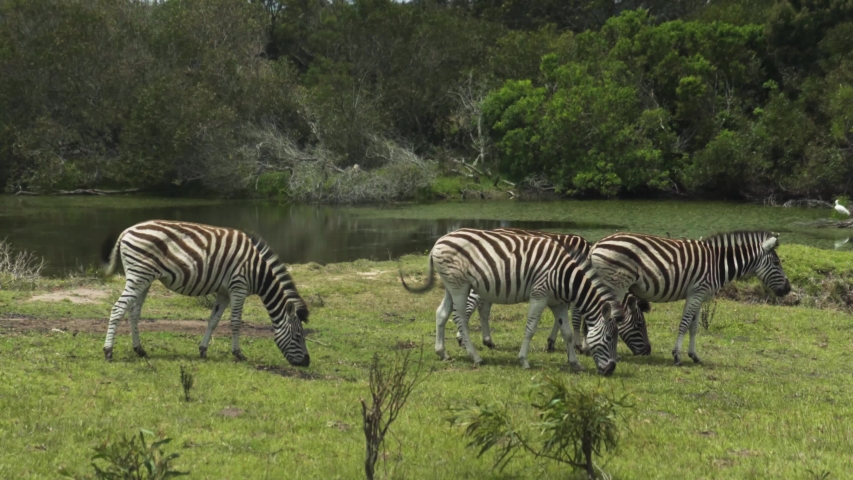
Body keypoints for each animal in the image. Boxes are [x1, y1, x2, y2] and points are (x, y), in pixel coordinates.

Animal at [100, 220, 310, 366]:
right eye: (298, 336)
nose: (307, 363)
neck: (257, 271)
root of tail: (127, 231)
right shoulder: (238, 287)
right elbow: (236, 322)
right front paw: (238, 354)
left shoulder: (224, 292)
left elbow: (213, 320)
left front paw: (202, 350)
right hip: (138, 276)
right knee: (118, 308)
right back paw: (108, 352)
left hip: (144, 279)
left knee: (134, 312)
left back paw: (140, 350)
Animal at [400, 228, 622, 376]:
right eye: (610, 338)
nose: (611, 370)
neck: (565, 276)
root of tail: (439, 241)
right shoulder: (539, 294)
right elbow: (530, 329)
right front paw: (523, 360)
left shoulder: (557, 303)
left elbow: (566, 333)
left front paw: (575, 363)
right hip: (459, 285)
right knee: (460, 318)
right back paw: (475, 356)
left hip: (450, 285)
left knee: (441, 314)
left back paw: (442, 352)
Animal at [449, 228, 652, 357]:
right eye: (639, 324)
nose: (647, 352)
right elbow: (577, 316)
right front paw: (580, 345)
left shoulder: (563, 285)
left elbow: (561, 316)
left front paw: (552, 342)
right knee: (471, 304)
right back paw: (461, 339)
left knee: (483, 307)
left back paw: (487, 340)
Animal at [590, 231, 791, 366]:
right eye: (776, 262)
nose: (788, 289)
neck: (718, 264)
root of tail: (597, 244)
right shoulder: (696, 292)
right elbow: (685, 323)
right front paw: (677, 356)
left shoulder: (699, 296)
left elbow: (694, 327)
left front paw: (694, 355)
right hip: (616, 284)